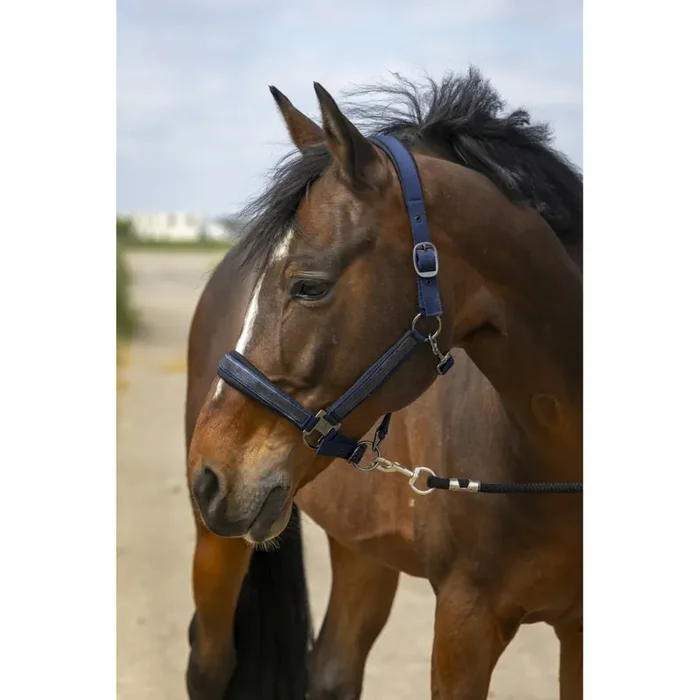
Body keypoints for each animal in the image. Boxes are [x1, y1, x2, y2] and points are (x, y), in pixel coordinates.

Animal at [184, 68, 583, 700]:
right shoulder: (466, 620)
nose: (208, 475)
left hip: (361, 547)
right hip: (218, 545)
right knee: (210, 662)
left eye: (309, 286)